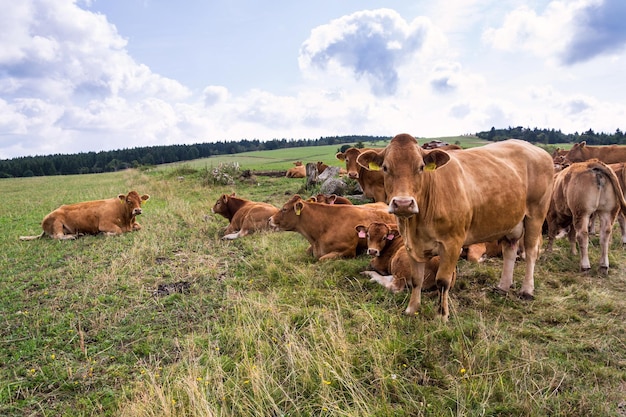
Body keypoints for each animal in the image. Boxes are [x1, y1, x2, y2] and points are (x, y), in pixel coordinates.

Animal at [19, 189, 150, 239]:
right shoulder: (104, 224)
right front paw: (105, 234)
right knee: (58, 236)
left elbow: (139, 226)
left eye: (140, 201)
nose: (137, 210)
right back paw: (73, 236)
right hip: (57, 223)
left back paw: (79, 234)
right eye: (128, 201)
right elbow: (118, 231)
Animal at [356, 135, 552, 320]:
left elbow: (443, 281)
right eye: (385, 168)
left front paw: (442, 316)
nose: (403, 203)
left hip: (535, 215)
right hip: (510, 221)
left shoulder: (452, 244)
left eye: (421, 167)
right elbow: (416, 279)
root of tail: (536, 149)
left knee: (531, 252)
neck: (417, 224)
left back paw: (527, 290)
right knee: (509, 251)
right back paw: (503, 287)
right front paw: (412, 310)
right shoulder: (410, 245)